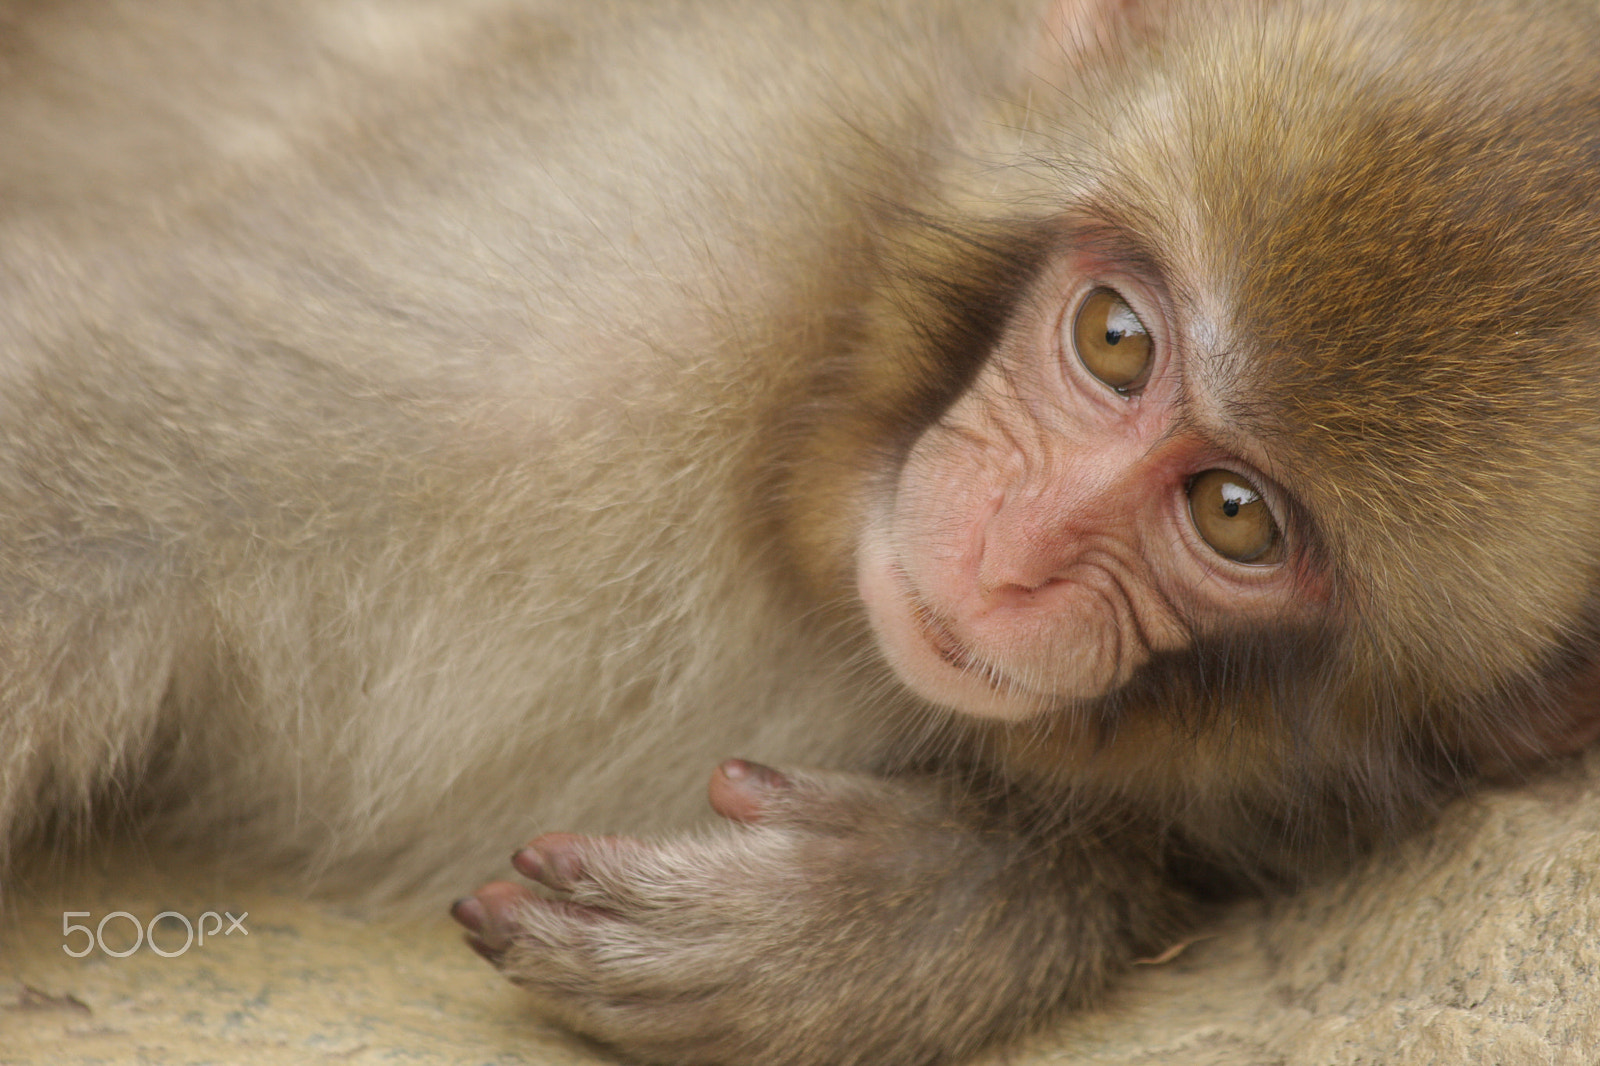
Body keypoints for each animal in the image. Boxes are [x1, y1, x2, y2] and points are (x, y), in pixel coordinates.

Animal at [3, 0, 1600, 1064]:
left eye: (1234, 515)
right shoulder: (674, 230)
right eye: (1115, 340)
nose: (1008, 556)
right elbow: (84, 495)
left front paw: (917, 907)